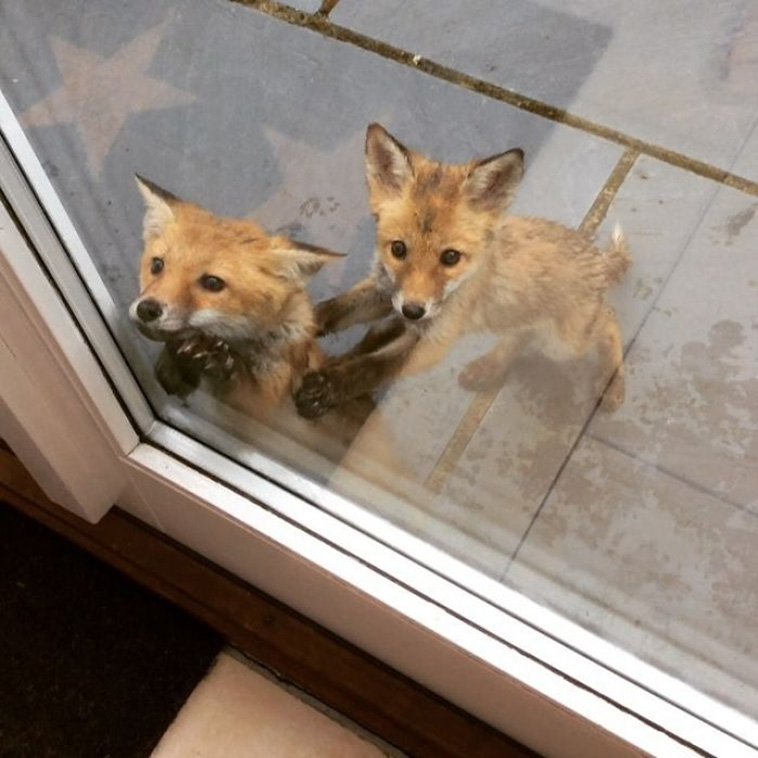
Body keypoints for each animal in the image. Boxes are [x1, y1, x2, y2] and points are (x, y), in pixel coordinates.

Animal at [295, 123, 631, 419]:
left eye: (450, 257)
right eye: (398, 249)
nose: (413, 310)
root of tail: (595, 255)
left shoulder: (435, 342)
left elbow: (372, 369)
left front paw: (327, 389)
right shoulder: (386, 292)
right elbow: (332, 310)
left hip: (564, 343)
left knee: (610, 320)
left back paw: (613, 385)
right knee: (520, 336)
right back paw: (488, 367)